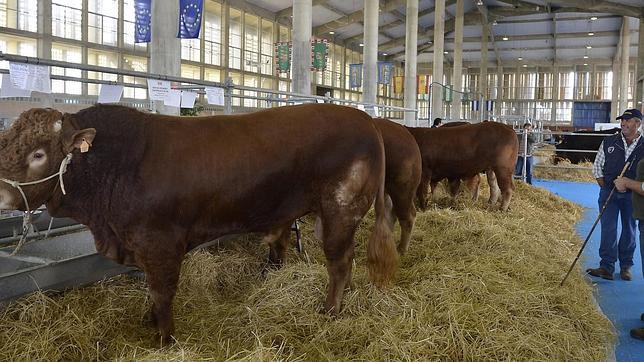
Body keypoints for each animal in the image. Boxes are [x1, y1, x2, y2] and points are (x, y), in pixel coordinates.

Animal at [0, 103, 398, 344]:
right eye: (5, 142)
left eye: (39, 154)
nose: (2, 193)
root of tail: (363, 119)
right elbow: (151, 292)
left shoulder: (160, 244)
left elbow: (161, 292)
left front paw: (164, 338)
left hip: (340, 210)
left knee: (340, 262)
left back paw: (330, 310)